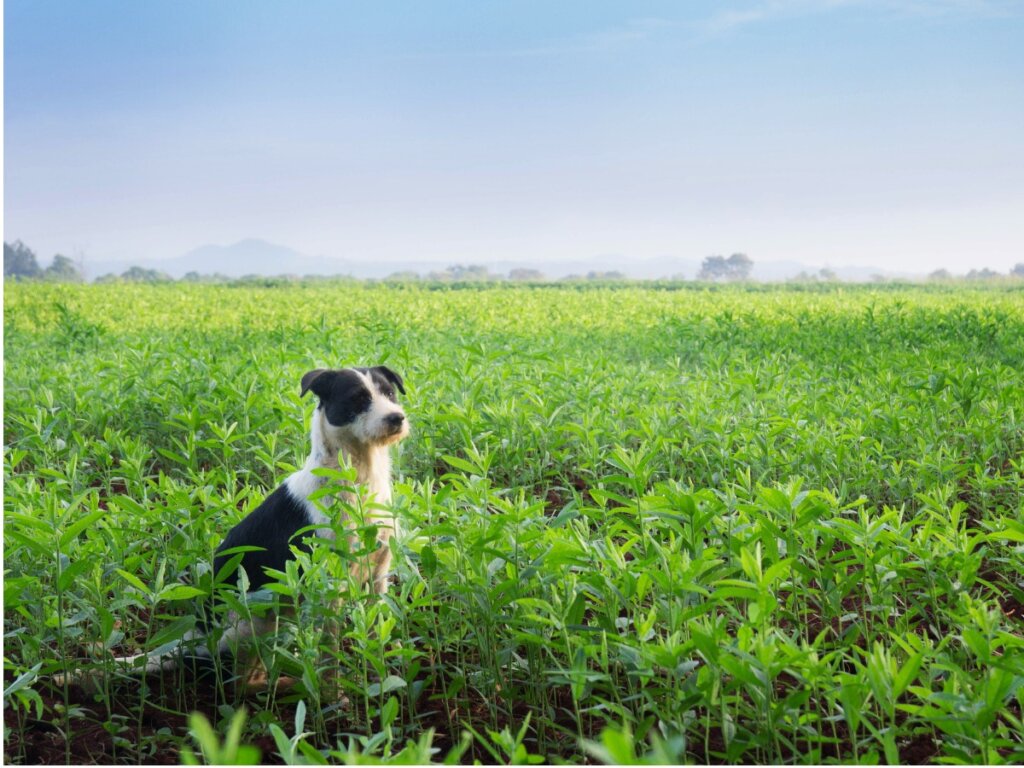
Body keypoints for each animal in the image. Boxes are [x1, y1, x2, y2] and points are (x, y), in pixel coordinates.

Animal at [58, 368, 407, 692]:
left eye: (390, 394)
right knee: (238, 684)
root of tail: (189, 644)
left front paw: (381, 681)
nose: (397, 417)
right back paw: (287, 685)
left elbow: (375, 633)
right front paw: (334, 698)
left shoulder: (378, 575)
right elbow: (329, 653)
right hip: (255, 620)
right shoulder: (328, 584)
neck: (360, 476)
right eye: (357, 399)